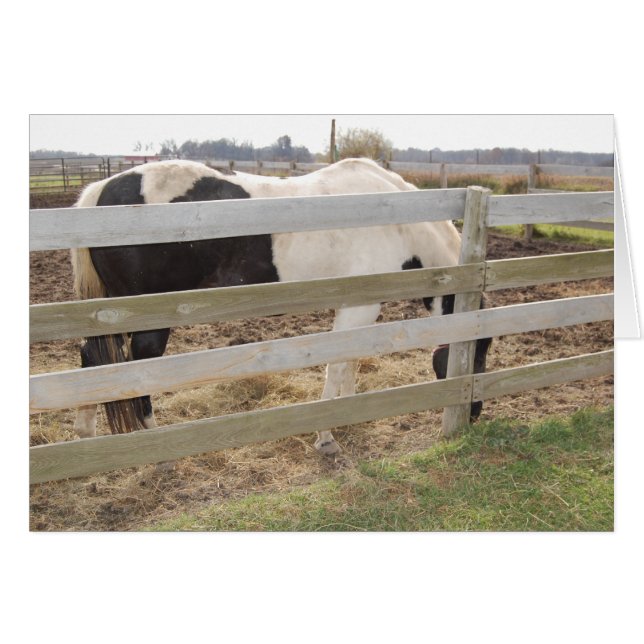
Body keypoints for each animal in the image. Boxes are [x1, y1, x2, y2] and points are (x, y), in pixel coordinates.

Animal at [71, 158, 492, 455]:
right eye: (477, 355)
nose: (474, 414)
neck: (396, 219)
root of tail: (102, 190)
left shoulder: (361, 305)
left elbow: (351, 360)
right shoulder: (357, 307)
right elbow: (337, 364)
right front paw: (326, 436)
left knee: (93, 360)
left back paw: (88, 439)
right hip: (146, 319)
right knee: (136, 370)